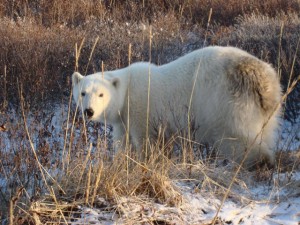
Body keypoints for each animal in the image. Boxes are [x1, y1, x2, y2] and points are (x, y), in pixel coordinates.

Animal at [72, 46, 282, 167]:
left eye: (101, 94)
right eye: (83, 93)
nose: (89, 111)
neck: (127, 90)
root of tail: (264, 80)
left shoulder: (141, 109)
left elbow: (146, 141)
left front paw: (145, 162)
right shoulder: (124, 118)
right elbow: (124, 142)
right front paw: (123, 161)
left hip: (227, 103)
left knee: (238, 137)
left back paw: (258, 163)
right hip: (266, 110)